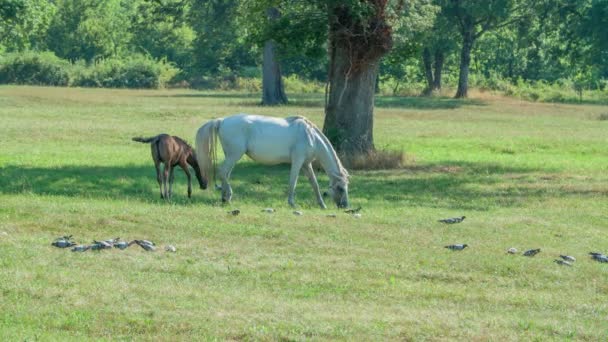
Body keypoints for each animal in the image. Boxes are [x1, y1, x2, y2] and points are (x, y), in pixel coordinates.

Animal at [195, 113, 346, 207]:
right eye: (341, 188)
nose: (344, 206)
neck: (310, 136)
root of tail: (222, 121)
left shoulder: (306, 164)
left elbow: (314, 183)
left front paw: (322, 204)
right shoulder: (297, 161)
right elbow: (293, 181)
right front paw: (292, 203)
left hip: (231, 156)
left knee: (225, 174)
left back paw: (225, 198)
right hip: (234, 155)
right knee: (222, 172)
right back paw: (228, 196)